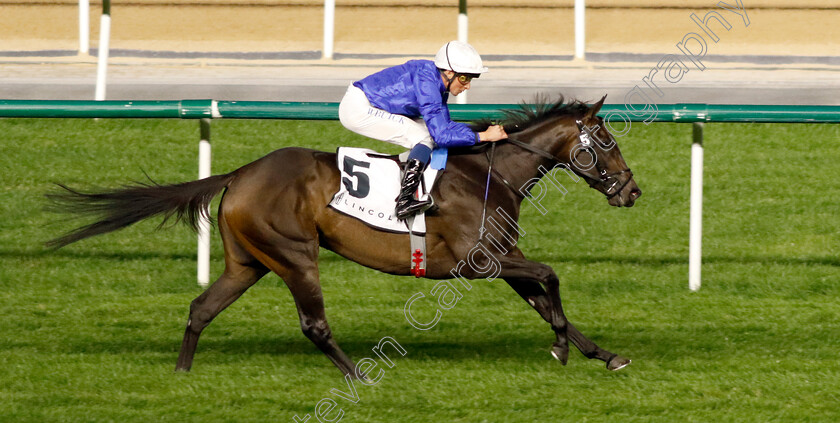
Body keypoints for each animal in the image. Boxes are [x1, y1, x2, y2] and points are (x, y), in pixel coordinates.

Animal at [49, 96, 644, 378]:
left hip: (247, 261)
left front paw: (603, 354)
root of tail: (240, 173)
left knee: (201, 308)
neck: (488, 172)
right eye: (608, 141)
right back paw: (359, 375)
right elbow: (552, 279)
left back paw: (181, 373)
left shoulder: (500, 257)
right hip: (294, 254)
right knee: (313, 324)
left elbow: (545, 300)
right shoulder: (479, 262)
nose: (632, 191)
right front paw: (563, 348)